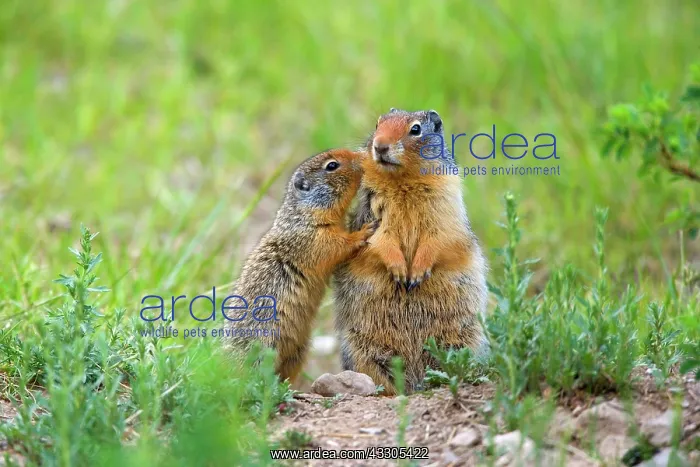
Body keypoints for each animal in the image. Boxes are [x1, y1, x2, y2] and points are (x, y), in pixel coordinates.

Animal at [223, 149, 377, 383]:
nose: (361, 154)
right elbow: (336, 245)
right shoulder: (313, 237)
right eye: (332, 165)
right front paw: (364, 231)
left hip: (298, 351)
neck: (302, 214)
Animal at [333, 108, 488, 396]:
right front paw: (399, 271)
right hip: (360, 348)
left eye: (415, 129)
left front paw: (415, 274)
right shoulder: (373, 210)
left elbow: (439, 237)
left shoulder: (445, 204)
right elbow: (381, 239)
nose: (380, 146)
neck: (402, 181)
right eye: (377, 124)